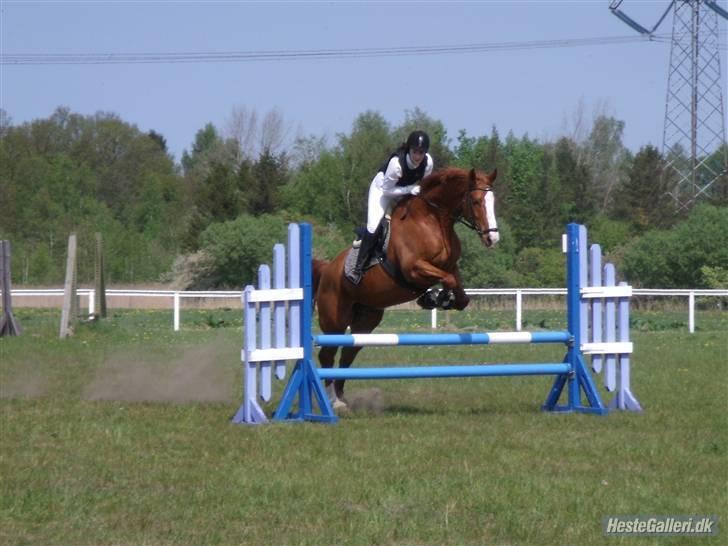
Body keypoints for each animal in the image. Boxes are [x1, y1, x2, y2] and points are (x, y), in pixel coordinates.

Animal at [310, 168, 498, 406]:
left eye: (493, 201)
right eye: (475, 201)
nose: (493, 237)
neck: (434, 221)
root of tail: (327, 268)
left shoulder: (450, 266)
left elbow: (461, 294)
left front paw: (441, 299)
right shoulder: (414, 269)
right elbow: (448, 280)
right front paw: (434, 298)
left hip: (366, 320)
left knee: (348, 353)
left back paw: (342, 399)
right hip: (335, 319)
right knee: (327, 354)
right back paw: (333, 401)